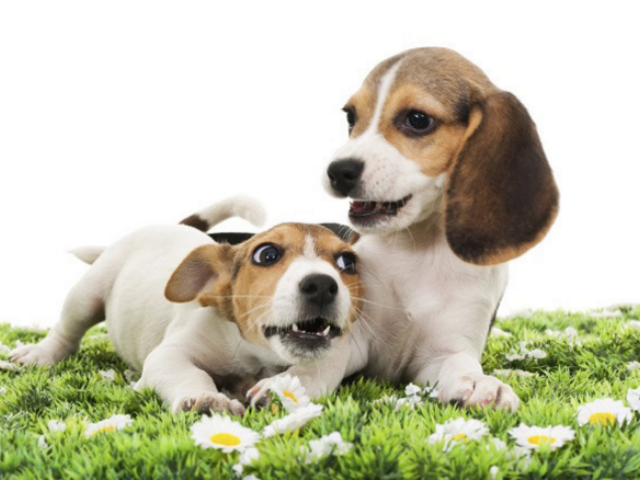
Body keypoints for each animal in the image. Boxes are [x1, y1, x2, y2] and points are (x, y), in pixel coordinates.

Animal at [10, 197, 362, 414]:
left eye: (347, 263)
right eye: (267, 254)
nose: (321, 285)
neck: (257, 356)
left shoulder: (337, 349)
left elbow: (317, 368)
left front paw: (280, 389)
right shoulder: (171, 353)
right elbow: (187, 373)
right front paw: (205, 398)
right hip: (87, 293)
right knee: (68, 329)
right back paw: (39, 354)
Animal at [322, 47, 556, 408]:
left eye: (418, 120)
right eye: (350, 117)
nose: (338, 171)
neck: (421, 245)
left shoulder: (444, 350)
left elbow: (460, 365)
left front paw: (482, 384)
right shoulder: (358, 337)